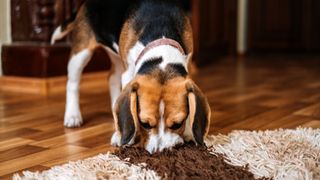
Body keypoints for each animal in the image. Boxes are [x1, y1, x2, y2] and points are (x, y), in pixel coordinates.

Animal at [50, 0, 210, 153]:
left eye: (178, 124)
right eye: (145, 124)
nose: (160, 152)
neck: (160, 33)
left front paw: (189, 132)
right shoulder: (129, 74)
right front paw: (124, 136)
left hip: (116, 56)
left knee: (112, 78)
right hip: (81, 51)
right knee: (72, 83)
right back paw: (73, 115)